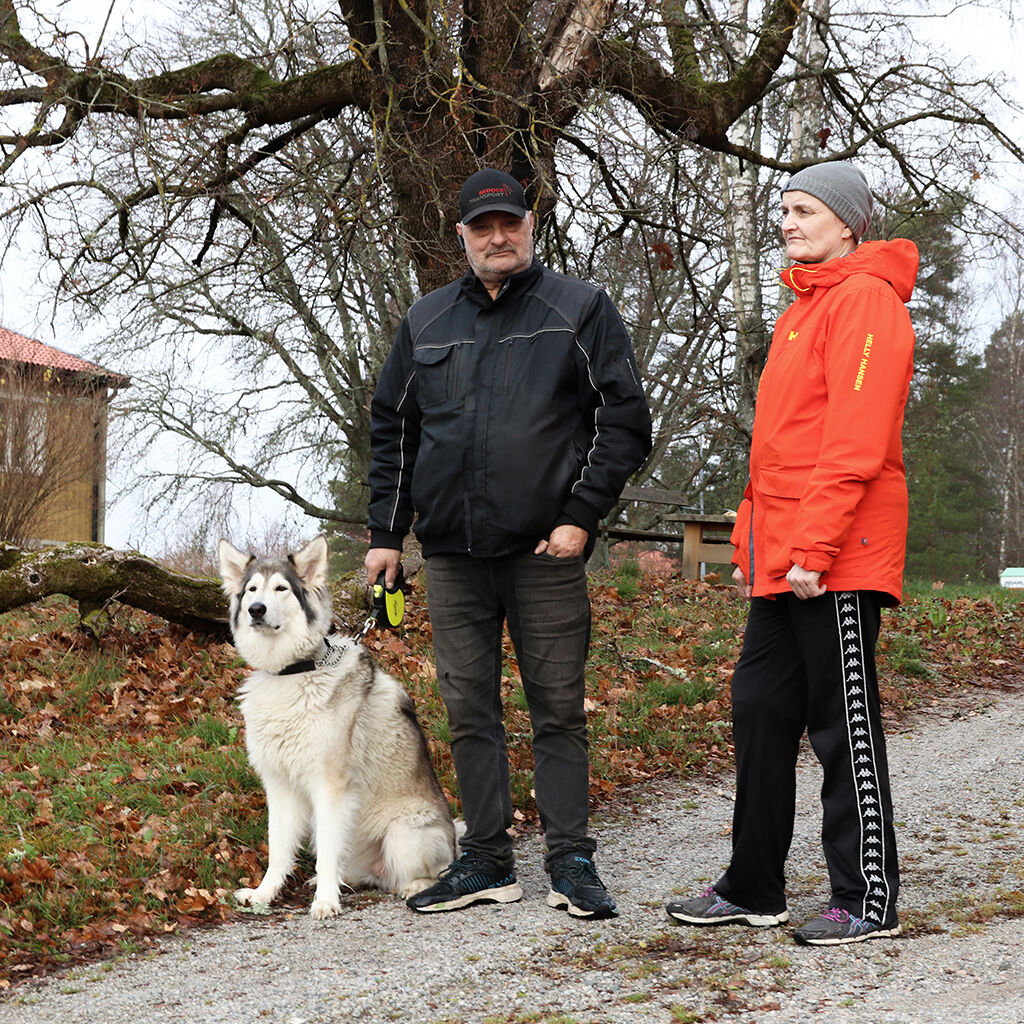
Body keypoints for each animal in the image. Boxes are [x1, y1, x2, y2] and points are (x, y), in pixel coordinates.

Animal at [218, 536, 454, 921]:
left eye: (281, 588)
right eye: (252, 589)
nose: (255, 609)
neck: (294, 671)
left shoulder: (331, 787)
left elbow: (328, 852)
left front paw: (326, 901)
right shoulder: (280, 787)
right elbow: (278, 849)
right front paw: (264, 894)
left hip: (403, 833)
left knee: (431, 872)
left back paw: (413, 886)